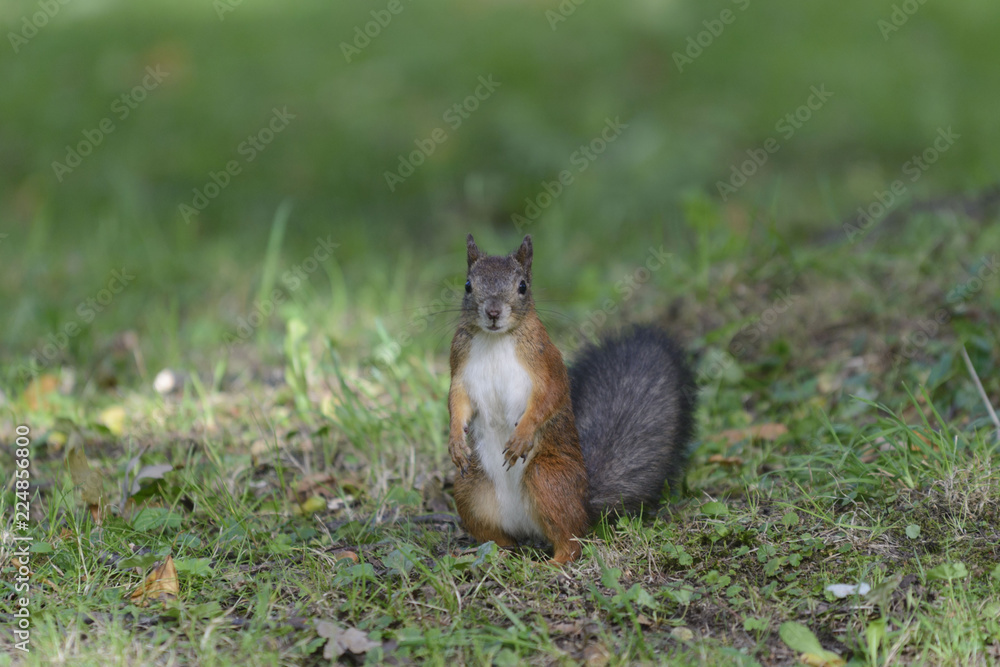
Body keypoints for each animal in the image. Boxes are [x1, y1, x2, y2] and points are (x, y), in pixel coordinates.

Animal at [448, 234, 696, 563]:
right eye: (468, 285)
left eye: (522, 286)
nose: (493, 312)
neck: (495, 339)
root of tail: (584, 502)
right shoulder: (459, 366)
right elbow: (456, 402)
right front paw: (455, 442)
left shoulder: (547, 363)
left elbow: (549, 398)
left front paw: (521, 436)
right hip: (470, 489)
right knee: (503, 540)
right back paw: (489, 554)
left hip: (547, 477)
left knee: (572, 539)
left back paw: (553, 563)